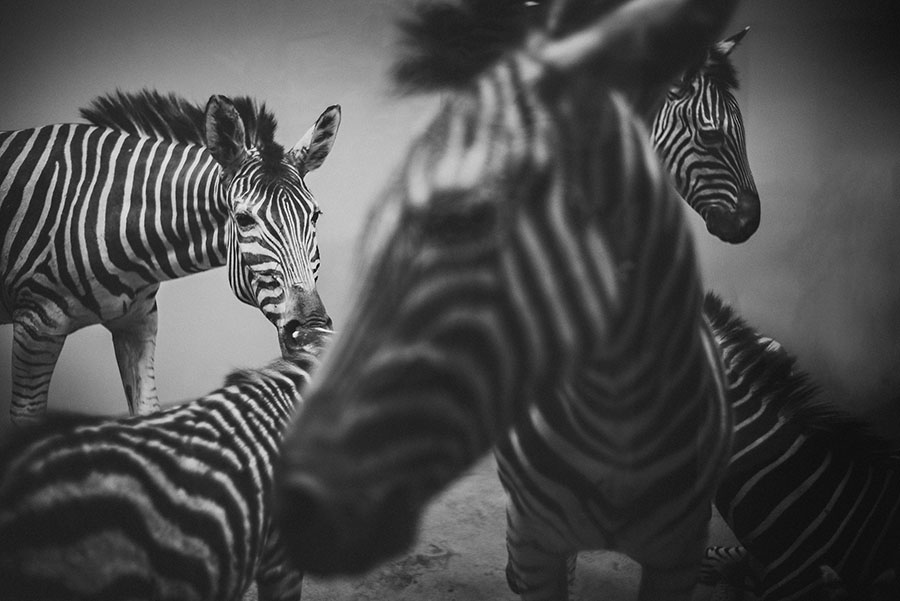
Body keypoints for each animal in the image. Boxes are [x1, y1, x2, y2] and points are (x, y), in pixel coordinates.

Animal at [0, 90, 340, 426]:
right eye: (244, 220)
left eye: (315, 216)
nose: (312, 333)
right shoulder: (36, 327)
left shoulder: (137, 323)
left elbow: (147, 411)